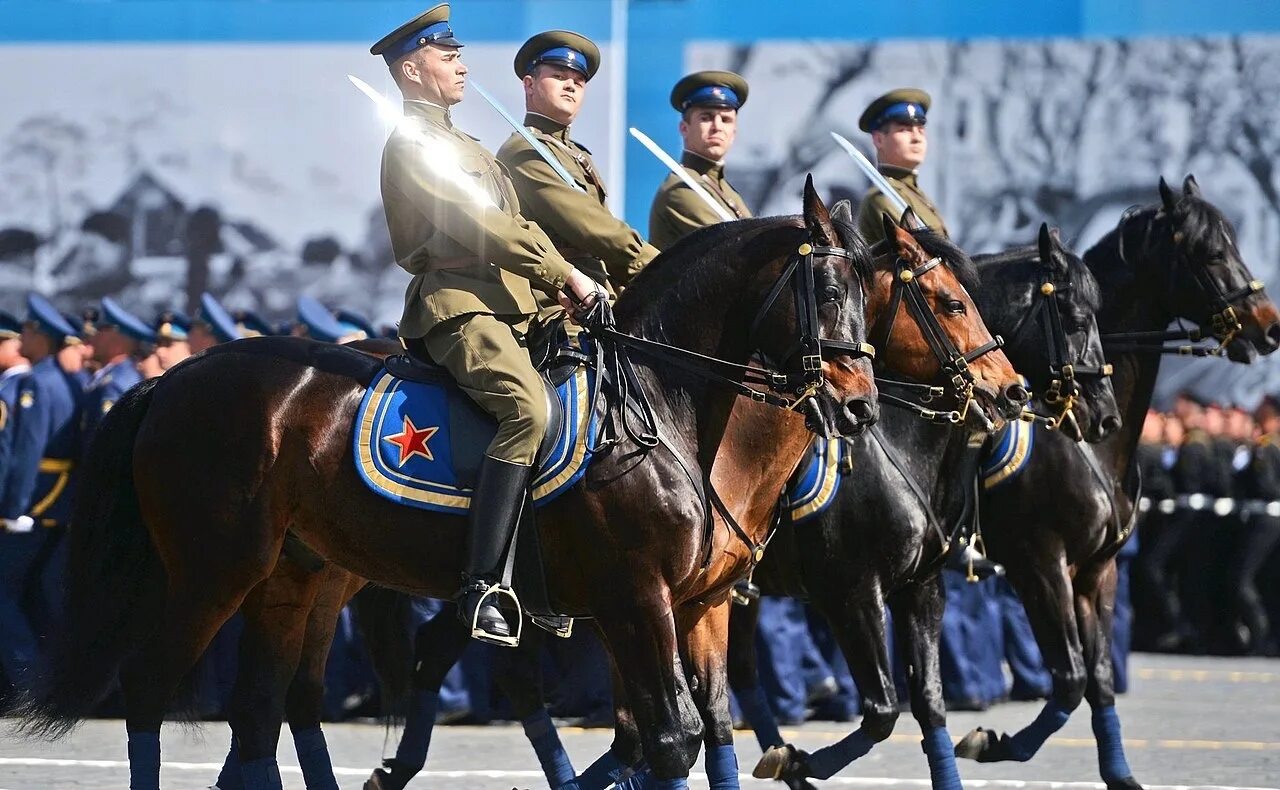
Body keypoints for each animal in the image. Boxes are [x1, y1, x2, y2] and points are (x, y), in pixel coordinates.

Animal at [12, 181, 967, 788]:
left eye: (869, 294)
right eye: (824, 289)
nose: (857, 405)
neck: (674, 408)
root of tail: (177, 379)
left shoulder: (704, 606)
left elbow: (719, 732)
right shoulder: (642, 600)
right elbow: (672, 737)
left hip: (296, 578)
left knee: (264, 715)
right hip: (216, 571)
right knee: (151, 691)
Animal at [737, 217, 1126, 788]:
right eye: (953, 304)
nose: (1103, 414)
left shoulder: (925, 588)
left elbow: (930, 702)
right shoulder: (854, 593)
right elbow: (882, 710)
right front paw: (801, 758)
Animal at [952, 175, 1280, 783]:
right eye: (1210, 251)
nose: (1268, 325)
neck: (1091, 448)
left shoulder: (1096, 570)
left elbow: (1099, 677)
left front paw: (1121, 774)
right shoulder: (1040, 564)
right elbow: (1070, 677)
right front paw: (992, 743)